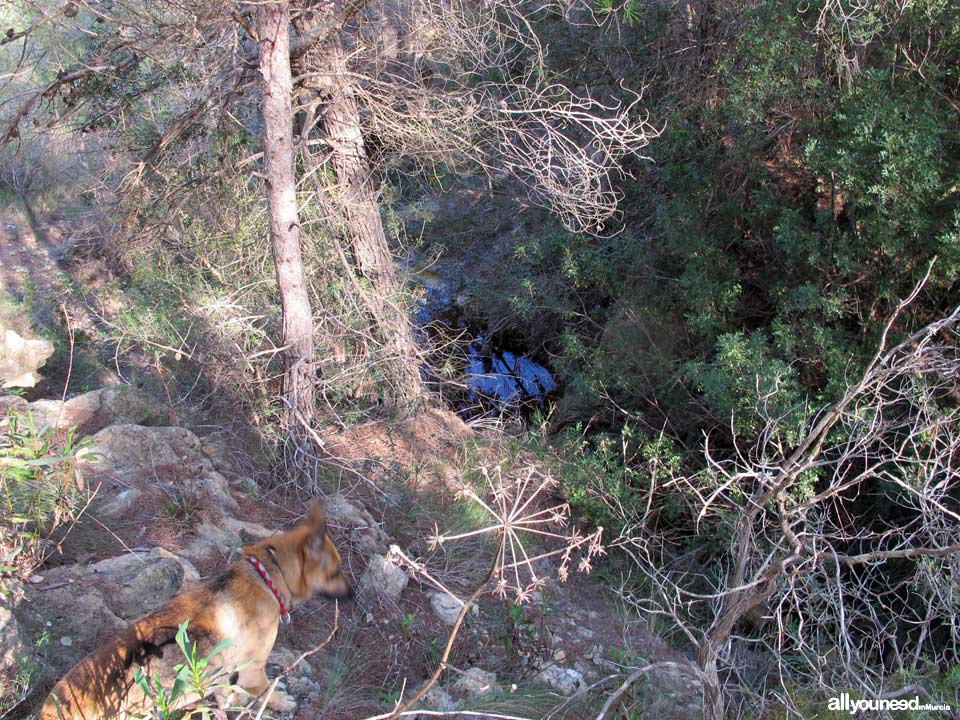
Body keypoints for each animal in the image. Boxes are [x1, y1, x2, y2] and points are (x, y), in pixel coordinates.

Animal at [41, 504, 350, 716]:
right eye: (335, 572)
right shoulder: (253, 669)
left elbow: (228, 691)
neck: (268, 576)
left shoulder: (226, 670)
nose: (352, 594)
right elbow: (265, 690)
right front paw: (281, 702)